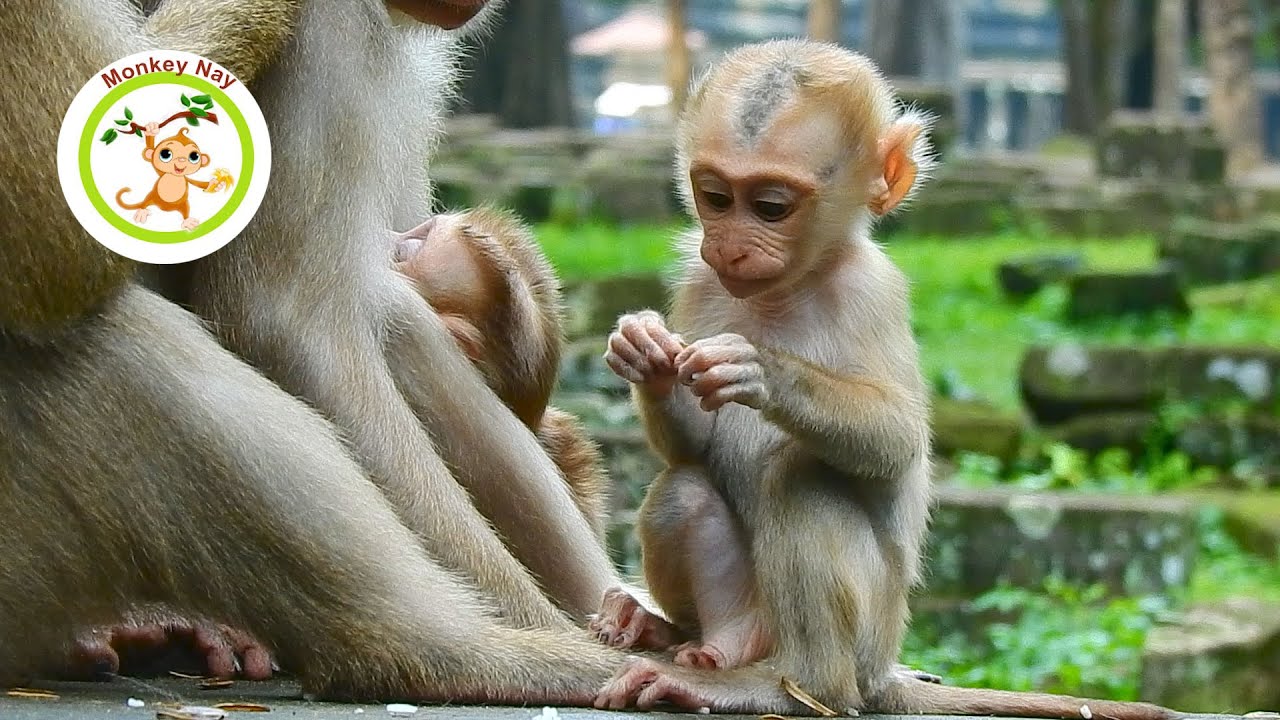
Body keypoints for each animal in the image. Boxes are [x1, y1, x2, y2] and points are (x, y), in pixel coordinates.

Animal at [588, 40, 1187, 720]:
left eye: (770, 207)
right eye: (715, 197)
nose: (730, 246)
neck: (788, 290)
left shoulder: (870, 289)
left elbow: (897, 438)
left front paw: (760, 369)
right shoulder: (699, 279)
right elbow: (691, 447)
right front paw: (646, 355)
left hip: (871, 633)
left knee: (801, 479)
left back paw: (795, 688)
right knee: (684, 490)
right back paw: (685, 638)